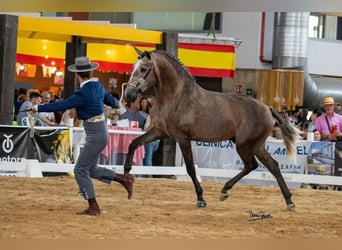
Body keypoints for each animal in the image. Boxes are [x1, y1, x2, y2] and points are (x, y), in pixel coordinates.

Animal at [122, 47, 300, 211]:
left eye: (143, 69)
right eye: (133, 67)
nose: (129, 95)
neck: (177, 98)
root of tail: (267, 108)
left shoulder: (182, 138)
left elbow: (190, 168)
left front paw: (201, 199)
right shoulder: (160, 132)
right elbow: (133, 143)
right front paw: (126, 172)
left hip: (244, 145)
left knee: (253, 165)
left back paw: (226, 191)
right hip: (256, 145)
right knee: (271, 166)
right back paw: (288, 201)